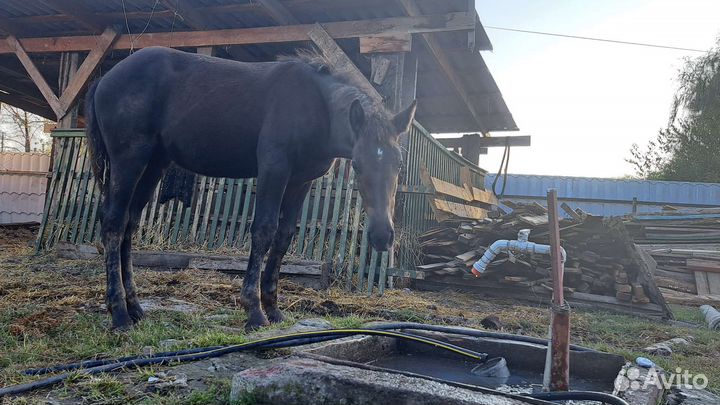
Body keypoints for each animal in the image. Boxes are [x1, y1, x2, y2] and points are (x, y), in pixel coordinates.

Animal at [84, 46, 416, 331]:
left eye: (400, 164)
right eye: (357, 165)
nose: (382, 236)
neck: (315, 105)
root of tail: (104, 80)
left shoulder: (300, 181)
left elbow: (284, 236)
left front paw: (274, 309)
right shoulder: (274, 168)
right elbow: (264, 230)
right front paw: (254, 311)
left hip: (154, 165)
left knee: (129, 224)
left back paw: (135, 307)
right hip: (130, 160)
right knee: (113, 222)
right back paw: (119, 313)